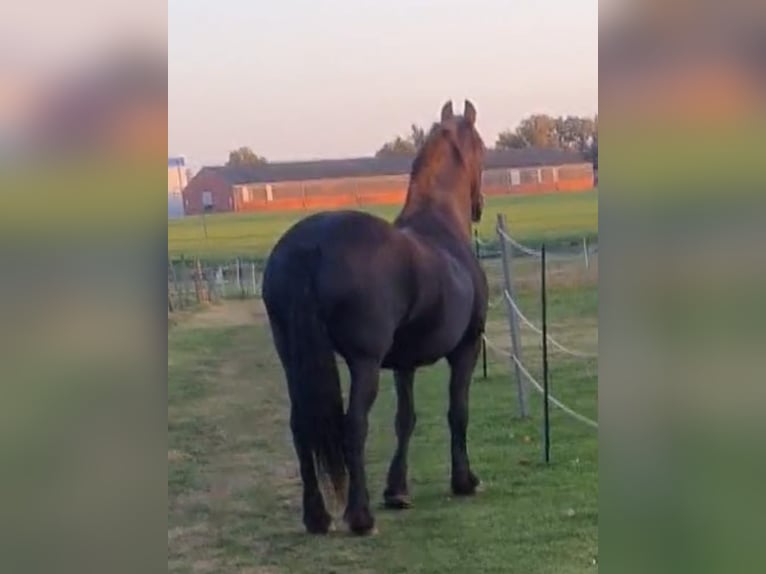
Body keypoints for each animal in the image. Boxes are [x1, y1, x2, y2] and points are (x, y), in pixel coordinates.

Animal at [264, 101, 488, 536]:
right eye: (483, 151)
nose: (478, 205)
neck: (441, 226)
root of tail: (308, 245)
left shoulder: (403, 363)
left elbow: (406, 419)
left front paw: (397, 491)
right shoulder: (465, 350)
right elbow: (459, 411)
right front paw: (464, 480)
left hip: (290, 358)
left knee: (300, 426)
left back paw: (317, 517)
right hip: (364, 364)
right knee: (354, 425)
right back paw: (360, 517)